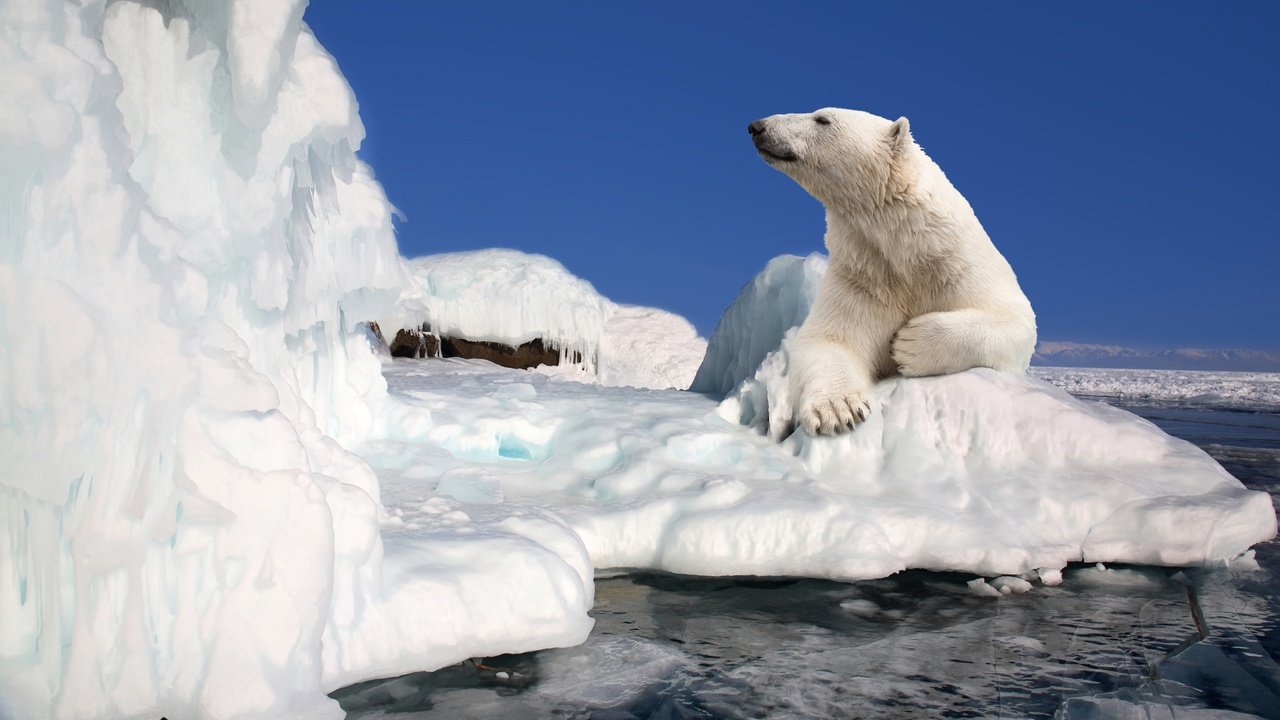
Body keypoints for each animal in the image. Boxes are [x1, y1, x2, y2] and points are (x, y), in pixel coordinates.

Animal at [747, 106, 1039, 430]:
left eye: (822, 119)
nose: (757, 126)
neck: (909, 252)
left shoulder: (961, 266)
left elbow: (1015, 320)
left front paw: (910, 343)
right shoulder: (863, 275)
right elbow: (831, 339)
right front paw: (838, 409)